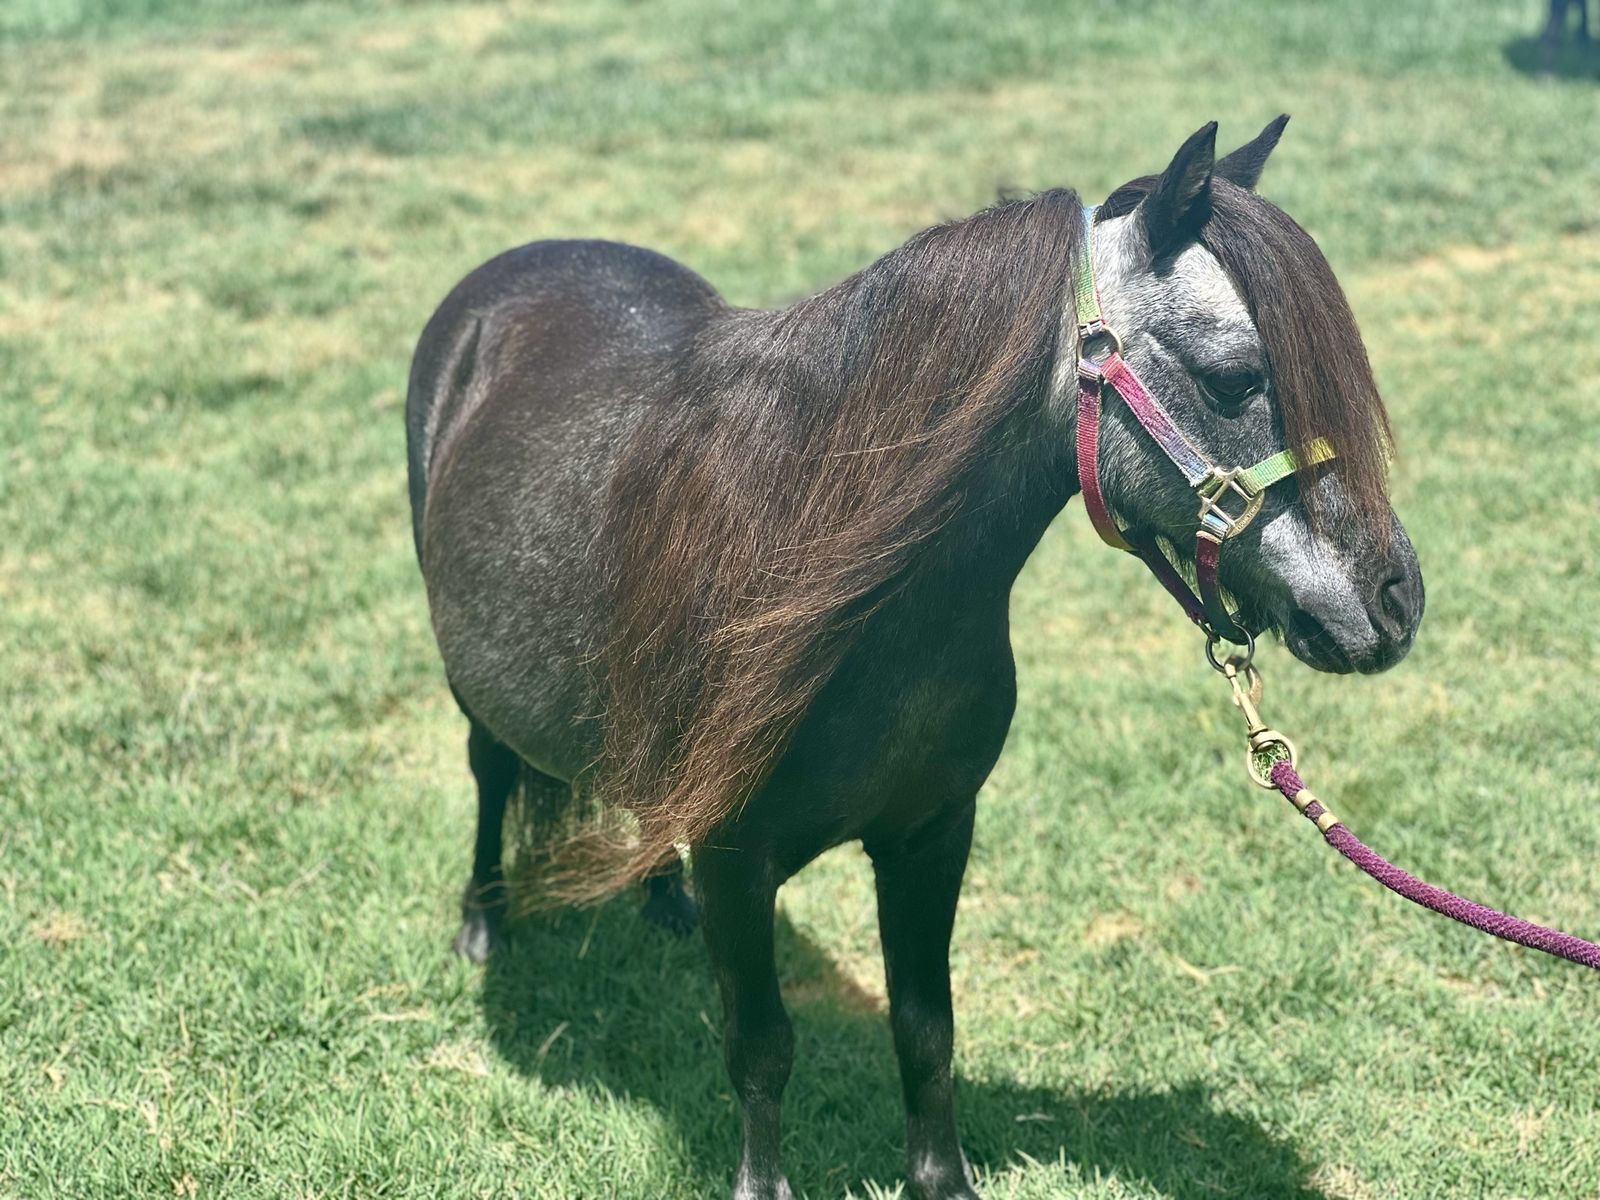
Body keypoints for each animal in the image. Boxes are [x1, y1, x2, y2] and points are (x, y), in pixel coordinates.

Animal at [404, 118, 1424, 1200]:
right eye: (1234, 378)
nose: (1393, 600)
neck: (838, 594)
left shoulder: (932, 835)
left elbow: (926, 1029)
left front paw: (943, 1179)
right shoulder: (736, 859)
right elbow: (760, 1047)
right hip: (472, 688)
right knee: (488, 775)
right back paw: (483, 923)